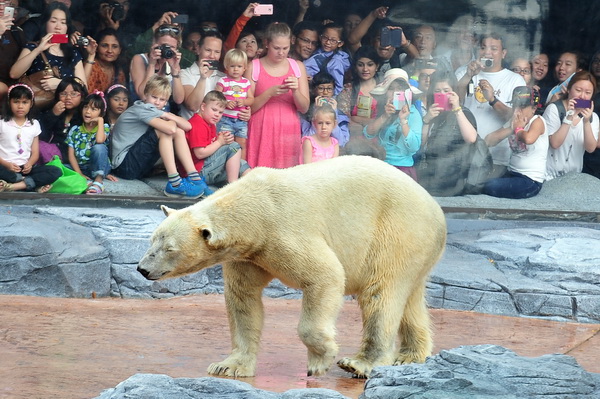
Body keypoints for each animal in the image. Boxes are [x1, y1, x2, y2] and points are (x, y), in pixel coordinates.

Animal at [137, 155, 446, 380]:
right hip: (416, 248)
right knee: (409, 299)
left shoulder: (285, 230)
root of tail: (436, 209)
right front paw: (228, 365)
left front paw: (320, 360)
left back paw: (359, 363)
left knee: (381, 293)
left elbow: (326, 276)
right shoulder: (248, 255)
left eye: (169, 248)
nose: (142, 268)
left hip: (396, 231)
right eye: (152, 239)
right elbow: (243, 300)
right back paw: (409, 355)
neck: (257, 208)